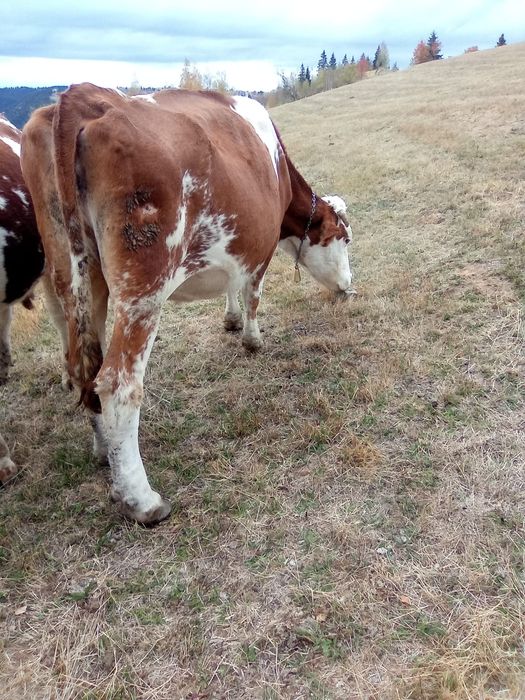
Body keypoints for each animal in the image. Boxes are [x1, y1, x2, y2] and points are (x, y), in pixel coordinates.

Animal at [21, 83, 354, 524]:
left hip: (76, 277)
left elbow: (233, 285)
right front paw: (252, 339)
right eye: (345, 238)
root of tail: (80, 97)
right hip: (143, 285)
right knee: (118, 384)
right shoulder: (260, 246)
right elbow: (252, 292)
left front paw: (230, 320)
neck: (279, 169)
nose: (349, 286)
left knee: (84, 369)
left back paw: (105, 452)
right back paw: (142, 500)